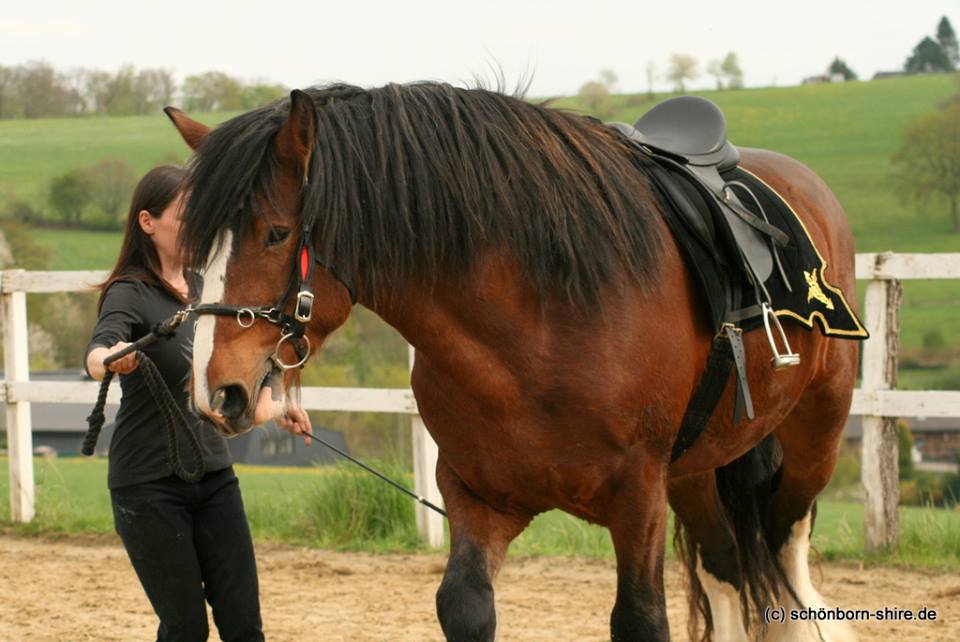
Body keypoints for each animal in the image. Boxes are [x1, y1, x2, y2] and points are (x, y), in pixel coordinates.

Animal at [167, 84, 864, 640]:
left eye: (276, 234)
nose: (215, 392)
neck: (538, 332)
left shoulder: (639, 499)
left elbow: (640, 619)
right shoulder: (477, 497)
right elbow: (464, 605)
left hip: (816, 437)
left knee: (785, 551)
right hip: (696, 470)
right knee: (726, 569)